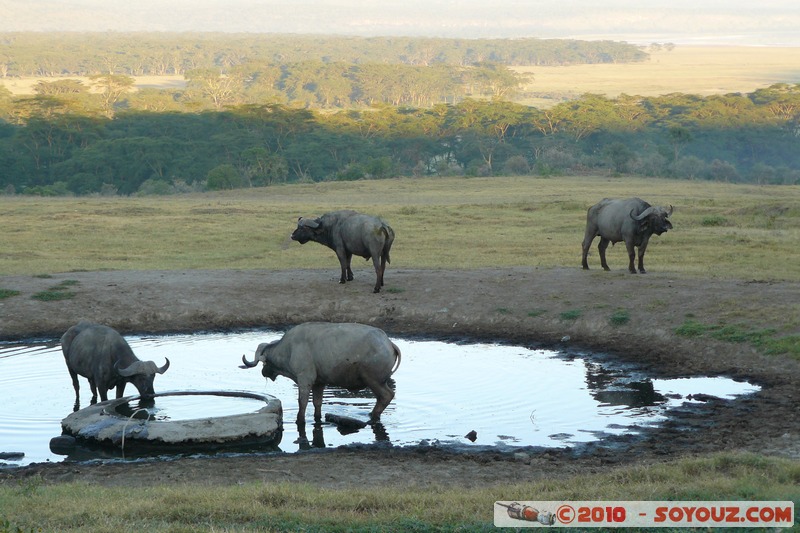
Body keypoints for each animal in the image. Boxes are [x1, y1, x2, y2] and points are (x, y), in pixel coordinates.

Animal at [238, 320, 400, 424]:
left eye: (264, 363)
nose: (264, 372)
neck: (288, 349)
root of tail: (389, 342)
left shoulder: (305, 379)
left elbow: (302, 402)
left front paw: (300, 420)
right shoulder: (319, 383)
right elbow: (317, 403)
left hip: (373, 380)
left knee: (386, 396)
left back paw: (373, 415)